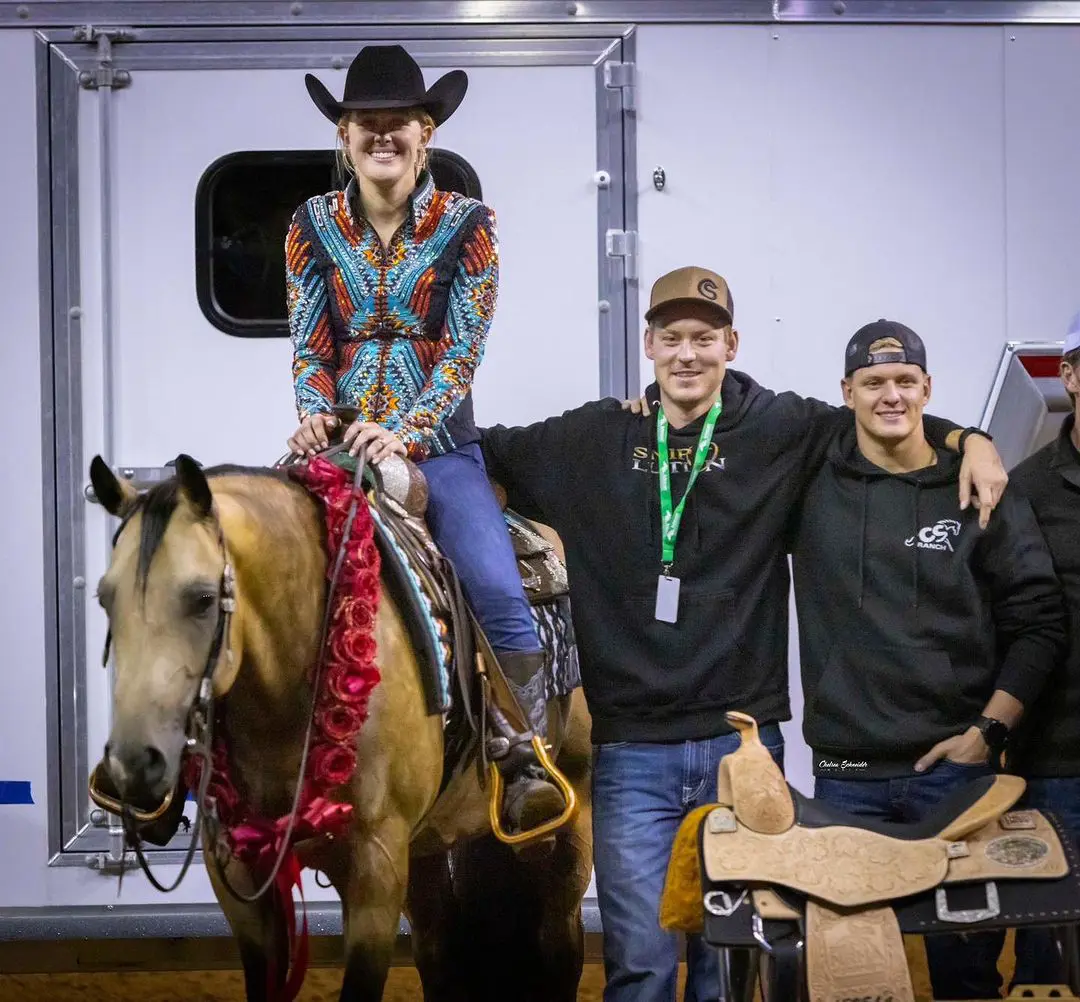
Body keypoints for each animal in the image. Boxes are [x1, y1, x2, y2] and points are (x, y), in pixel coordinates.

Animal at [83, 451, 596, 1002]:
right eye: (104, 597)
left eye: (201, 597)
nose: (134, 764)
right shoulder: (237, 874)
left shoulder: (376, 864)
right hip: (430, 845)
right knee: (438, 948)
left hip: (573, 821)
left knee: (559, 941)